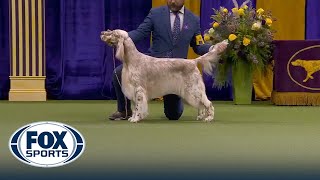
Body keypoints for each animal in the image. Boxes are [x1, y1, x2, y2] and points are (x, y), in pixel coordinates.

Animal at [100, 29, 228, 122]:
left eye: (112, 33)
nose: (102, 33)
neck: (131, 60)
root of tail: (193, 61)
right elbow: (136, 105)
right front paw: (133, 117)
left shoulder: (139, 90)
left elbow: (138, 106)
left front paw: (135, 118)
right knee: (200, 104)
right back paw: (201, 116)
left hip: (194, 89)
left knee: (208, 103)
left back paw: (209, 118)